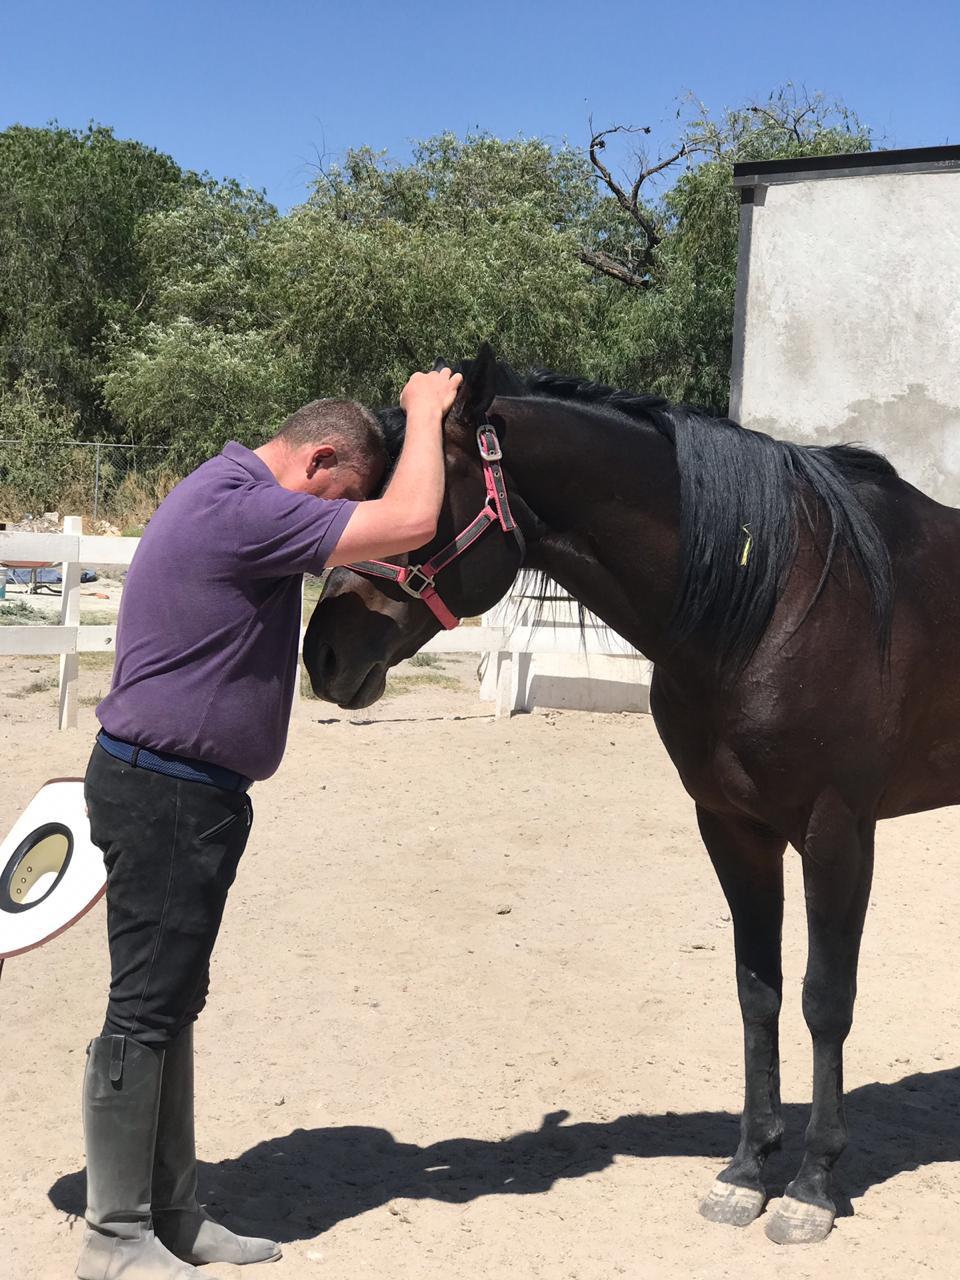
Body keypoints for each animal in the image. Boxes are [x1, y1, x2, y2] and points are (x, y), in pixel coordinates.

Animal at [302, 343, 960, 1244]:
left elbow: (826, 999)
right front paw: (747, 1171)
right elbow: (757, 991)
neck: (775, 596)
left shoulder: (838, 831)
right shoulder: (732, 827)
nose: (323, 654)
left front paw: (812, 1188)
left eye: (410, 498)